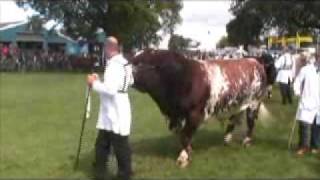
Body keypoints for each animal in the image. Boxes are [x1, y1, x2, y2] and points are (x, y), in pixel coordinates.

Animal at [130, 48, 276, 167]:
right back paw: (226, 139)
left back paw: (246, 142)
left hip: (254, 102)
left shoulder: (195, 114)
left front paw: (184, 158)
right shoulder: (176, 117)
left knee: (250, 122)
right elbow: (182, 135)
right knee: (233, 120)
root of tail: (255, 60)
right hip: (237, 102)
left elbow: (185, 136)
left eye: (138, 63)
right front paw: (188, 151)